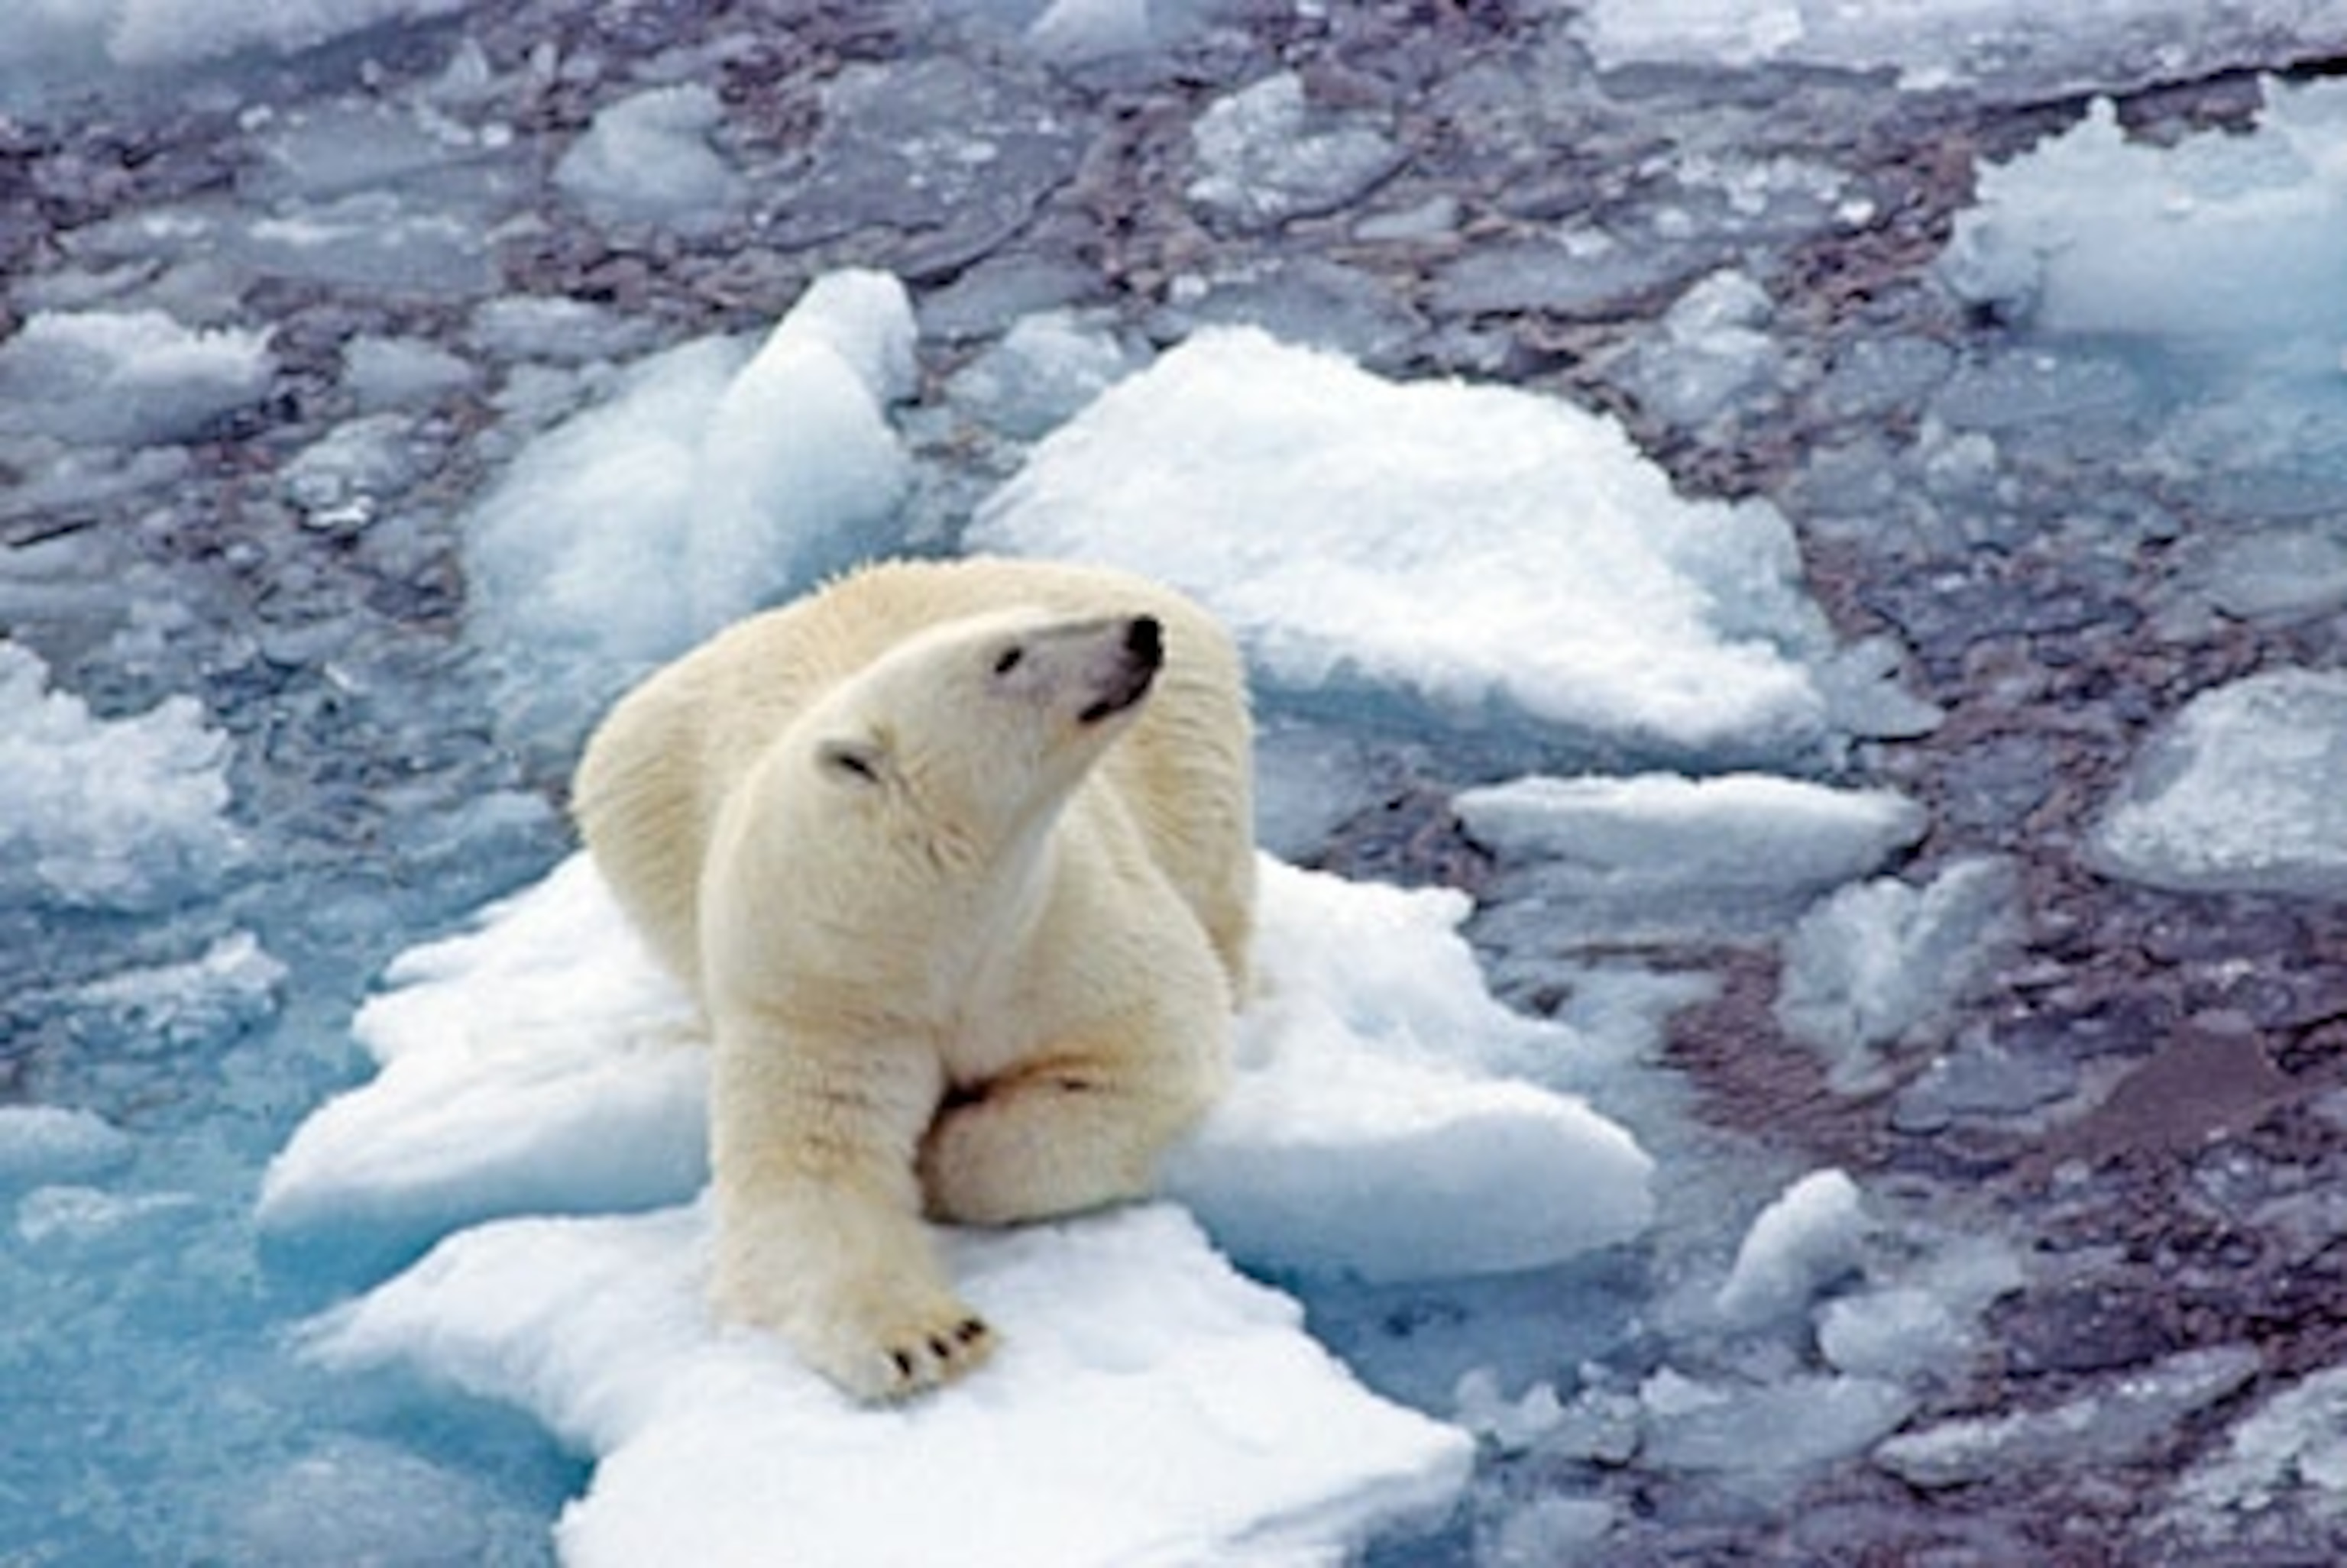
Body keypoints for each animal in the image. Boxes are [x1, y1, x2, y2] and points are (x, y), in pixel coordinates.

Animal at [571, 556, 1255, 1400]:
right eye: (1007, 657)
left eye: (1031, 624)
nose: (1137, 632)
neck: (920, 929)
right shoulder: (817, 994)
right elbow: (811, 1172)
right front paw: (926, 1339)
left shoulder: (1057, 930)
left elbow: (1142, 1058)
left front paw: (938, 1150)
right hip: (639, 815)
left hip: (1195, 734)